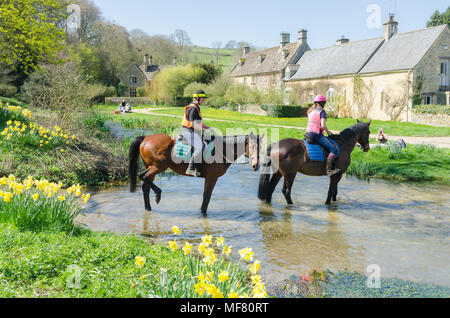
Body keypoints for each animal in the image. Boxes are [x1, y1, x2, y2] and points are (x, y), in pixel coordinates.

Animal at [128, 130, 262, 215]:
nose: (256, 165)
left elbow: (206, 196)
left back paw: (148, 208)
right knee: (143, 176)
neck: (221, 150)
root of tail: (145, 138)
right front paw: (203, 213)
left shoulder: (210, 178)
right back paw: (158, 194)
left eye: (260, 148)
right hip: (158, 167)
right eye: (251, 146)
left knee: (145, 186)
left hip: (152, 167)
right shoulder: (212, 177)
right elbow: (207, 197)